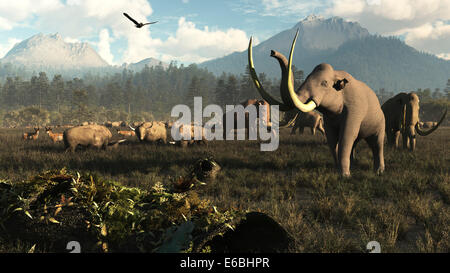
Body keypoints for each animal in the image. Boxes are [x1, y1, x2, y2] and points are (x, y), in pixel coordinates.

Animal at [248, 29, 384, 176]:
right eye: (307, 76)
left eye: (324, 83)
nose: (272, 52)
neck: (337, 73)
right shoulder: (328, 118)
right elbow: (332, 138)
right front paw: (340, 171)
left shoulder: (354, 109)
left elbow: (346, 136)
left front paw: (345, 176)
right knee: (355, 143)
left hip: (380, 122)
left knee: (377, 143)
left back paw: (379, 171)